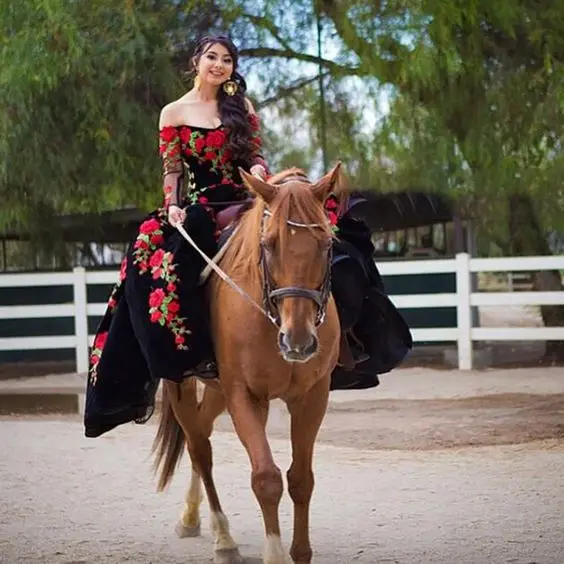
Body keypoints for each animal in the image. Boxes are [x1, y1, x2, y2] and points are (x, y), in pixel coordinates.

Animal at [151, 164, 344, 564]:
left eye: (326, 244)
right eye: (268, 244)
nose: (298, 340)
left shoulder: (312, 397)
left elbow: (301, 479)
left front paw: (300, 552)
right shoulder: (244, 394)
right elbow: (266, 478)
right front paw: (274, 553)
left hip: (218, 392)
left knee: (203, 431)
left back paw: (192, 517)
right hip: (184, 386)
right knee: (200, 449)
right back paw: (222, 538)